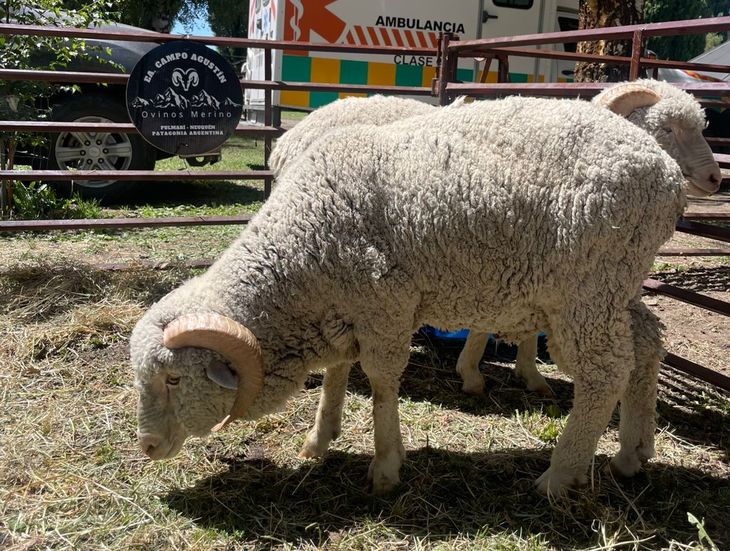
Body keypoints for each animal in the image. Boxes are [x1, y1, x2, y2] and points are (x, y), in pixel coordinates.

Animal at [129, 84, 716, 498]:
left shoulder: (384, 306)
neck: (303, 248)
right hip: (614, 286)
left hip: (585, 291)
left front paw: (386, 466)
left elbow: (381, 382)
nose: (148, 445)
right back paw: (632, 454)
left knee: (605, 370)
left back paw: (560, 474)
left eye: (175, 379)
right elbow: (338, 370)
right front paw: (320, 439)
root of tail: (662, 168)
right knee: (647, 343)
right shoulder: (346, 305)